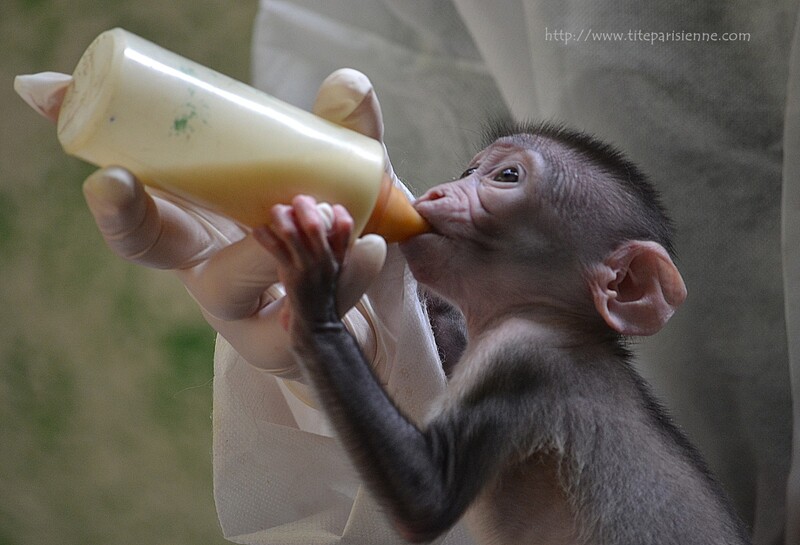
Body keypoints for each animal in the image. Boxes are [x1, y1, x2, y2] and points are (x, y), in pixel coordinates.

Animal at [255, 123, 752, 544]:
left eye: (507, 176)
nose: (438, 191)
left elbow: (426, 499)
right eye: (468, 172)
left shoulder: (520, 358)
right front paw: (435, 309)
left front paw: (314, 281)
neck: (559, 324)